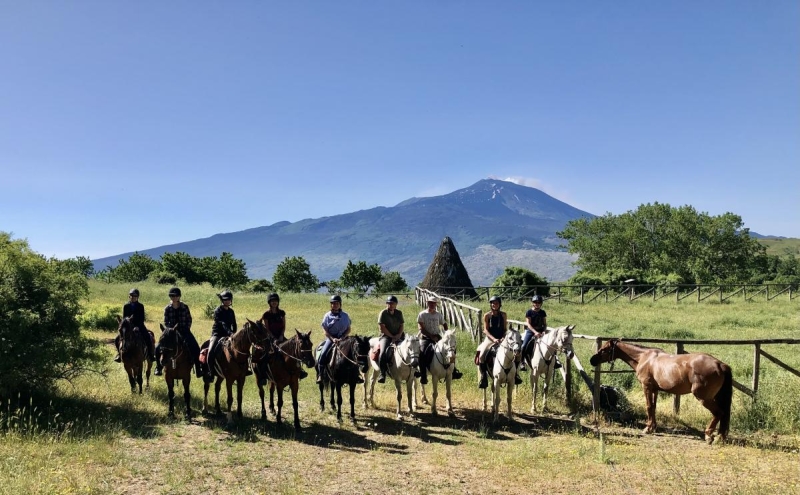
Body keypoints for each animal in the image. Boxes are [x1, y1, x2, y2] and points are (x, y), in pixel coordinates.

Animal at [588, 340, 732, 444]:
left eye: (604, 349)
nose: (592, 360)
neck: (644, 358)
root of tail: (720, 365)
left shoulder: (646, 387)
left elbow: (648, 406)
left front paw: (647, 428)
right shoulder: (655, 390)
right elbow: (653, 407)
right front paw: (653, 427)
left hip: (703, 398)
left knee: (719, 413)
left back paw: (709, 435)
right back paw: (720, 437)